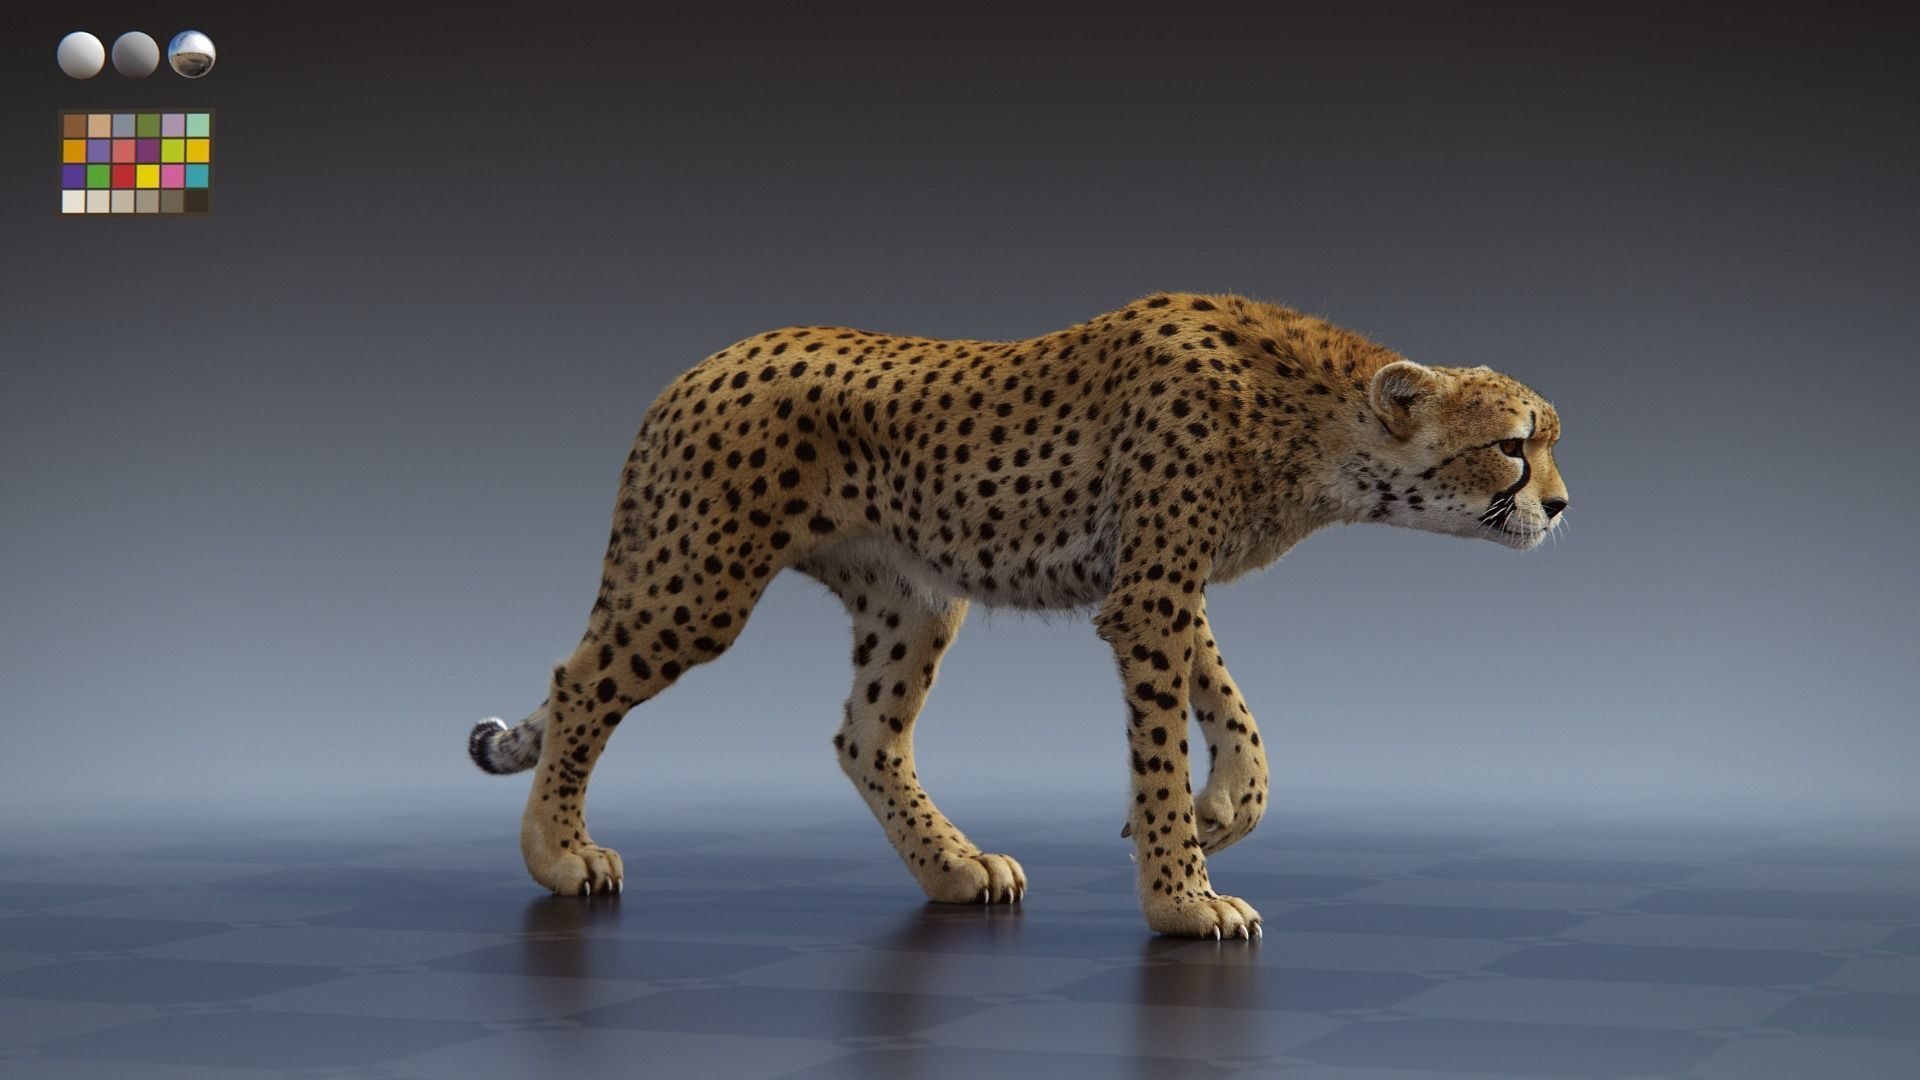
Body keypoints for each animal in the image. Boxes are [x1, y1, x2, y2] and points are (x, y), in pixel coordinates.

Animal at [467, 292, 1568, 939]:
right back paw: (558, 853)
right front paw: (1182, 897)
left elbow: (1235, 715)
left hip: (911, 598)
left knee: (866, 734)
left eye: (1547, 442)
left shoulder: (1158, 583)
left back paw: (955, 868)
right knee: (581, 683)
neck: (1316, 419)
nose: (1560, 506)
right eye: (1514, 447)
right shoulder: (1151, 592)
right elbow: (1162, 747)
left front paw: (1219, 815)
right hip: (698, 580)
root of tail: (698, 366)